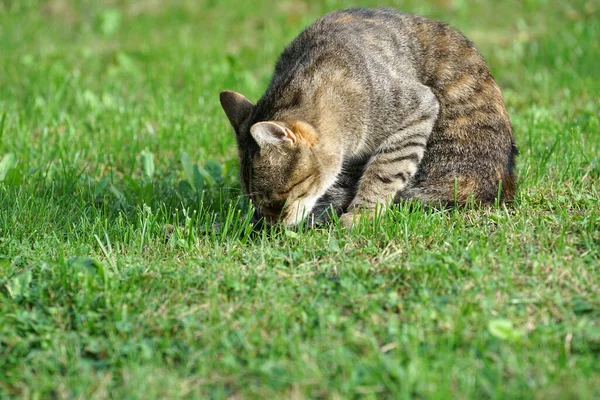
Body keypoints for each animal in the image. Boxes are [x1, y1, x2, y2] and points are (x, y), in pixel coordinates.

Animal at [218, 7, 516, 227]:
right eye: (257, 203)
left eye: (278, 202)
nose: (271, 227)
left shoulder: (418, 107)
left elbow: (384, 171)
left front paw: (361, 215)